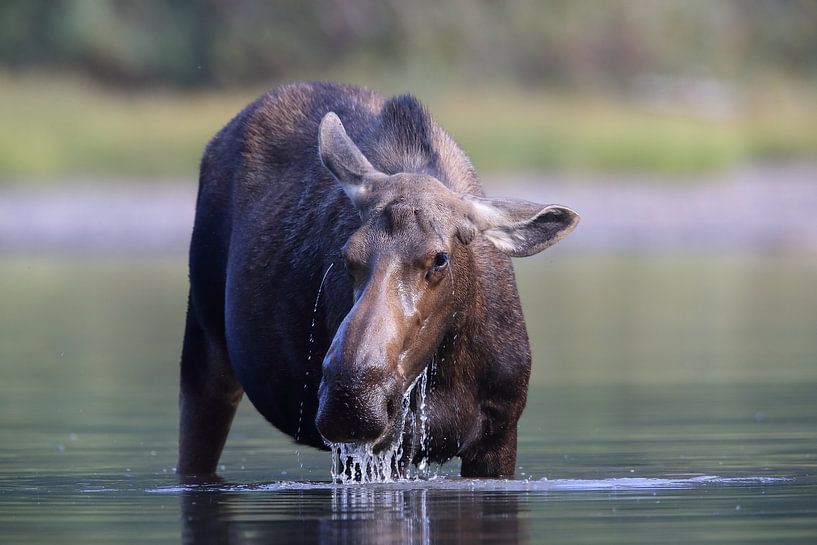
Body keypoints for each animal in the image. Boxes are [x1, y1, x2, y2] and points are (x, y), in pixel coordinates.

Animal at [178, 82, 578, 479]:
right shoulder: (370, 450)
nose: (351, 400)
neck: (450, 365)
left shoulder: (500, 431)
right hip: (204, 348)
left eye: (440, 258)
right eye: (346, 254)